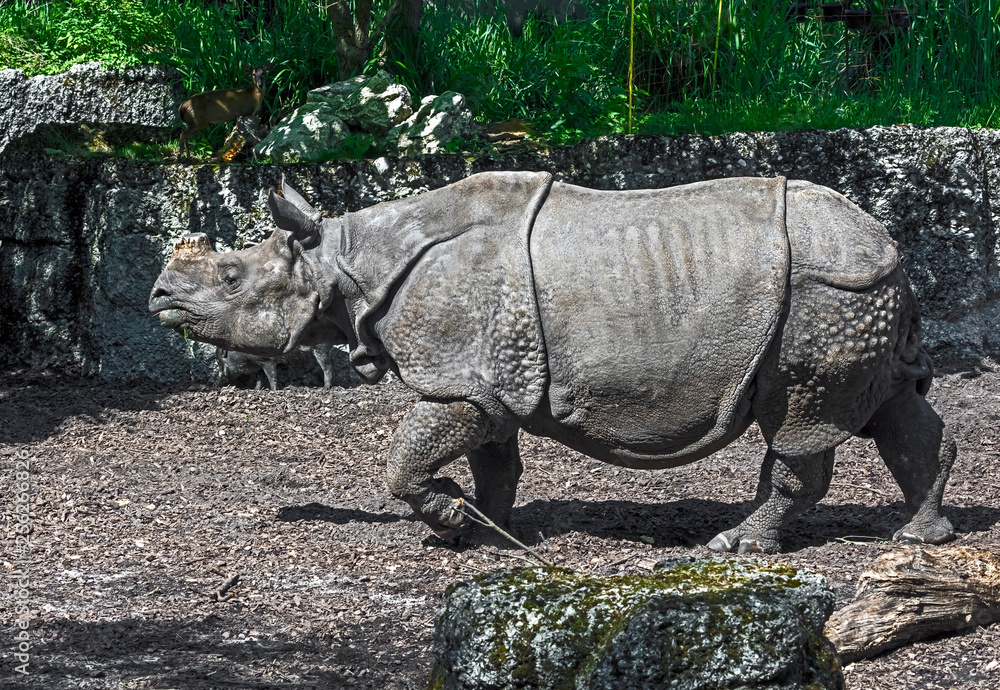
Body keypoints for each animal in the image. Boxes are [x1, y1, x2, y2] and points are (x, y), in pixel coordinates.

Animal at [149, 172, 956, 553]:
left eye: (231, 278)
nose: (158, 296)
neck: (344, 259)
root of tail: (892, 244)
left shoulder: (459, 380)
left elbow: (407, 458)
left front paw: (448, 518)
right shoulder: (483, 377)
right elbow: (495, 461)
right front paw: (481, 531)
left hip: (824, 290)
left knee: (800, 424)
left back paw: (736, 548)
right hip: (854, 289)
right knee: (893, 410)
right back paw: (921, 538)